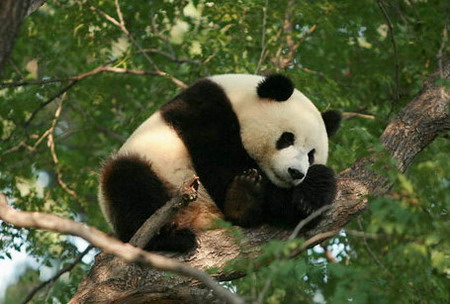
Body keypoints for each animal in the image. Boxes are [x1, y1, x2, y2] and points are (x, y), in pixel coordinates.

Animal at [99, 73, 342, 252]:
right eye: (287, 138)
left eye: (311, 154)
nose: (296, 173)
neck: (238, 101)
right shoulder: (204, 112)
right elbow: (220, 165)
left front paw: (312, 194)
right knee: (128, 181)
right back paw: (172, 238)